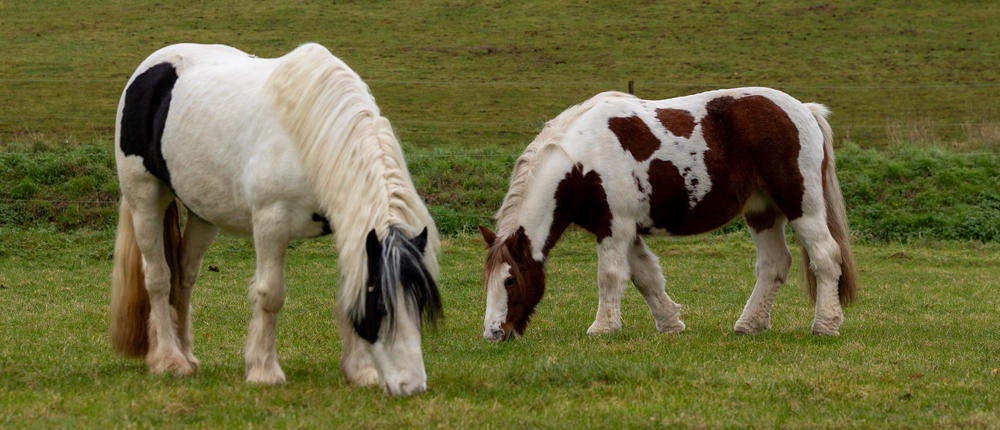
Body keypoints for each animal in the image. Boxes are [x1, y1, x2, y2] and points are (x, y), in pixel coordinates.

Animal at [110, 43, 441, 397]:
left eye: (420, 301)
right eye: (380, 304)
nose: (411, 385)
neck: (310, 132)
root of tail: (149, 68)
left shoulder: (347, 230)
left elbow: (345, 294)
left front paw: (359, 372)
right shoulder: (271, 223)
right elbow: (270, 295)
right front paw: (263, 370)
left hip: (202, 213)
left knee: (183, 276)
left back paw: (187, 354)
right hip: (144, 199)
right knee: (158, 277)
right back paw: (169, 360)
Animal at [478, 88, 857, 341]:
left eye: (510, 280)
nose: (494, 333)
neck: (584, 159)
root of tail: (804, 109)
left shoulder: (614, 227)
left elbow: (611, 275)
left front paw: (603, 328)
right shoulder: (626, 229)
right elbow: (645, 276)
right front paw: (670, 323)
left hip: (802, 206)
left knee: (826, 256)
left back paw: (825, 325)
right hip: (761, 211)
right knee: (775, 264)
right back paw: (750, 324)